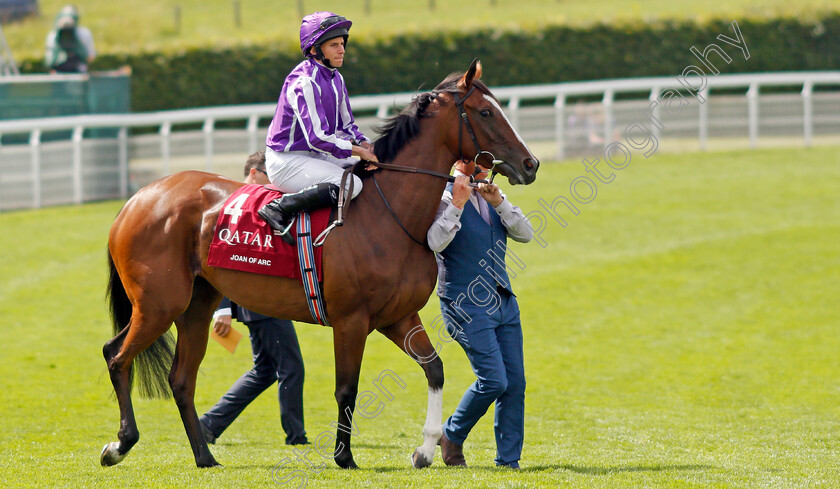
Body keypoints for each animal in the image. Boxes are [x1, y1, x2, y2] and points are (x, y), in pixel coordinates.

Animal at [101, 60, 540, 468]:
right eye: (486, 112)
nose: (530, 163)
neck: (389, 214)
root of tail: (136, 199)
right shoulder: (351, 320)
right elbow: (347, 388)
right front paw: (344, 457)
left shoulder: (398, 317)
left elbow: (435, 370)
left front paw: (426, 450)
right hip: (160, 304)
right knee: (117, 356)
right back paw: (119, 445)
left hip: (195, 305)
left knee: (179, 378)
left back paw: (204, 457)